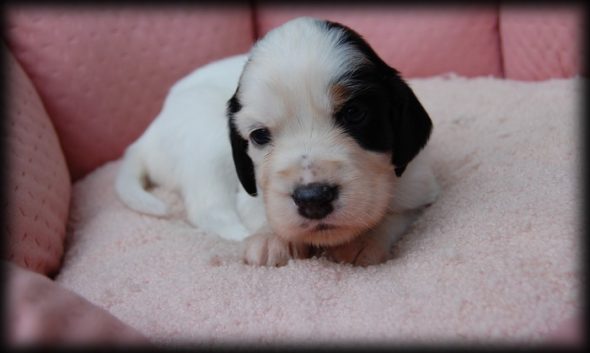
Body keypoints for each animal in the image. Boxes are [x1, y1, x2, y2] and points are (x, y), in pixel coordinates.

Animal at [115, 16, 440, 264]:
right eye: (259, 135)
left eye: (355, 113)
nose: (313, 199)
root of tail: (145, 137)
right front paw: (270, 238)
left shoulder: (418, 185)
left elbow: (396, 212)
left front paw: (363, 241)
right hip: (208, 144)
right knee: (208, 209)